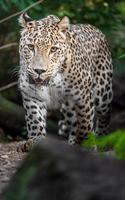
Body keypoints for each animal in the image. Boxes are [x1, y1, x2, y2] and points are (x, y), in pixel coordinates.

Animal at [18, 13, 113, 151]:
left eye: (53, 49)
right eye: (31, 47)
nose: (39, 70)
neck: (51, 82)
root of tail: (97, 30)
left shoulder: (83, 95)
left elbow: (85, 122)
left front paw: (86, 144)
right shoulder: (31, 94)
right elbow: (35, 118)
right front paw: (36, 140)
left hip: (103, 92)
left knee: (104, 115)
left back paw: (101, 139)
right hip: (69, 107)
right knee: (72, 120)